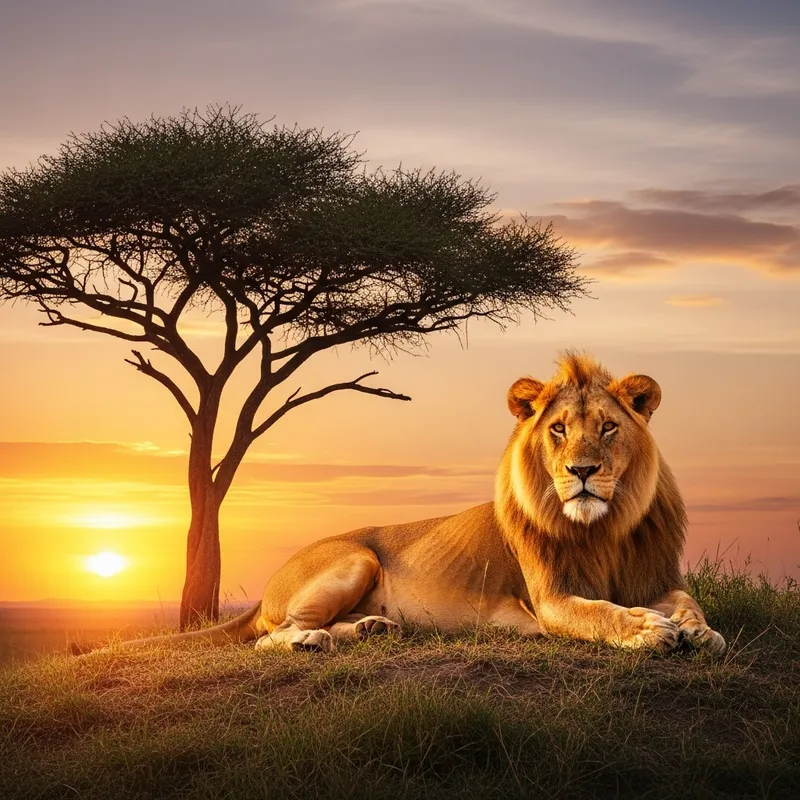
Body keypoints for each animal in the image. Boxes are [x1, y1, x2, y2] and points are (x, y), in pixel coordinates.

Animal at [111, 352, 725, 656]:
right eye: (557, 430)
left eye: (607, 428)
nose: (582, 471)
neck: (607, 526)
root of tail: (267, 588)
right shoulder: (550, 600)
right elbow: (599, 612)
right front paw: (648, 631)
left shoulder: (655, 578)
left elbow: (690, 603)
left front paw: (700, 632)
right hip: (354, 559)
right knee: (270, 635)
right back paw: (312, 639)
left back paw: (370, 630)